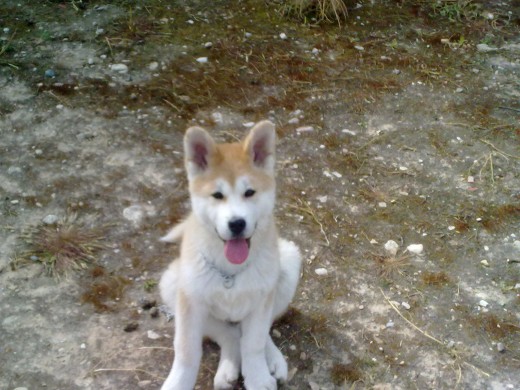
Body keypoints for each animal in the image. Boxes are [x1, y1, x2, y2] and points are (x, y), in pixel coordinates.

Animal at [160, 120, 302, 388]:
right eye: (217, 195)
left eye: (249, 193)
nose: (236, 223)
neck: (231, 272)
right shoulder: (190, 302)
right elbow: (186, 351)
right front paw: (178, 382)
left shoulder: (262, 299)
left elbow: (254, 343)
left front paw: (257, 377)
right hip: (172, 283)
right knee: (229, 334)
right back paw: (227, 367)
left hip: (288, 263)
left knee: (254, 333)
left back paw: (272, 359)